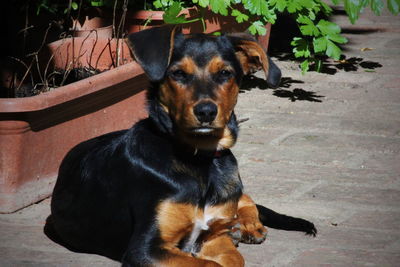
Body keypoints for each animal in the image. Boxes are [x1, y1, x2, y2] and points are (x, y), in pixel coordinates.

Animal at [47, 25, 316, 267]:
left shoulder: (213, 237)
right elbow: (208, 264)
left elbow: (234, 259)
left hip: (232, 186)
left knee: (245, 197)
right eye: (177, 74)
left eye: (225, 73)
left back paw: (248, 225)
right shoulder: (146, 249)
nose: (206, 112)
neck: (200, 160)